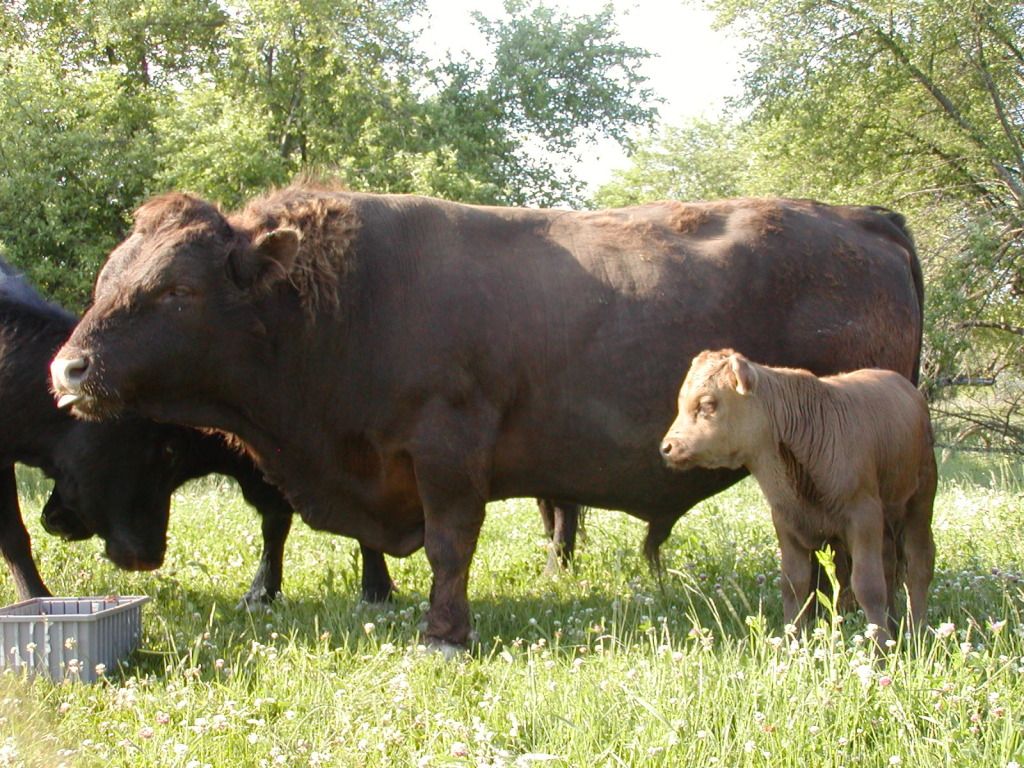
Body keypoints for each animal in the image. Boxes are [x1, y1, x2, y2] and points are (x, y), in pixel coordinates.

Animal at [660, 350, 937, 643]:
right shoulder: (787, 522)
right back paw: (894, 625)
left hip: (920, 500)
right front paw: (792, 640)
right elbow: (794, 584)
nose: (667, 446)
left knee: (918, 564)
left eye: (707, 404)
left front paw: (881, 645)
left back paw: (918, 629)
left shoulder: (863, 517)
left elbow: (868, 586)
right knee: (889, 564)